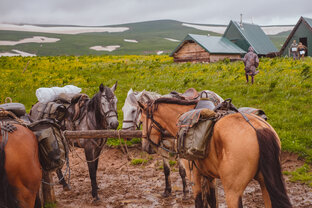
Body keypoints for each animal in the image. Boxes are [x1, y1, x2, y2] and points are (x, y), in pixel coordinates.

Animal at [138, 98, 292, 208]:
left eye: (141, 121)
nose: (146, 147)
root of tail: (258, 128)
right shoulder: (209, 176)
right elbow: (212, 202)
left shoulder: (194, 176)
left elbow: (199, 202)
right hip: (266, 185)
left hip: (233, 192)